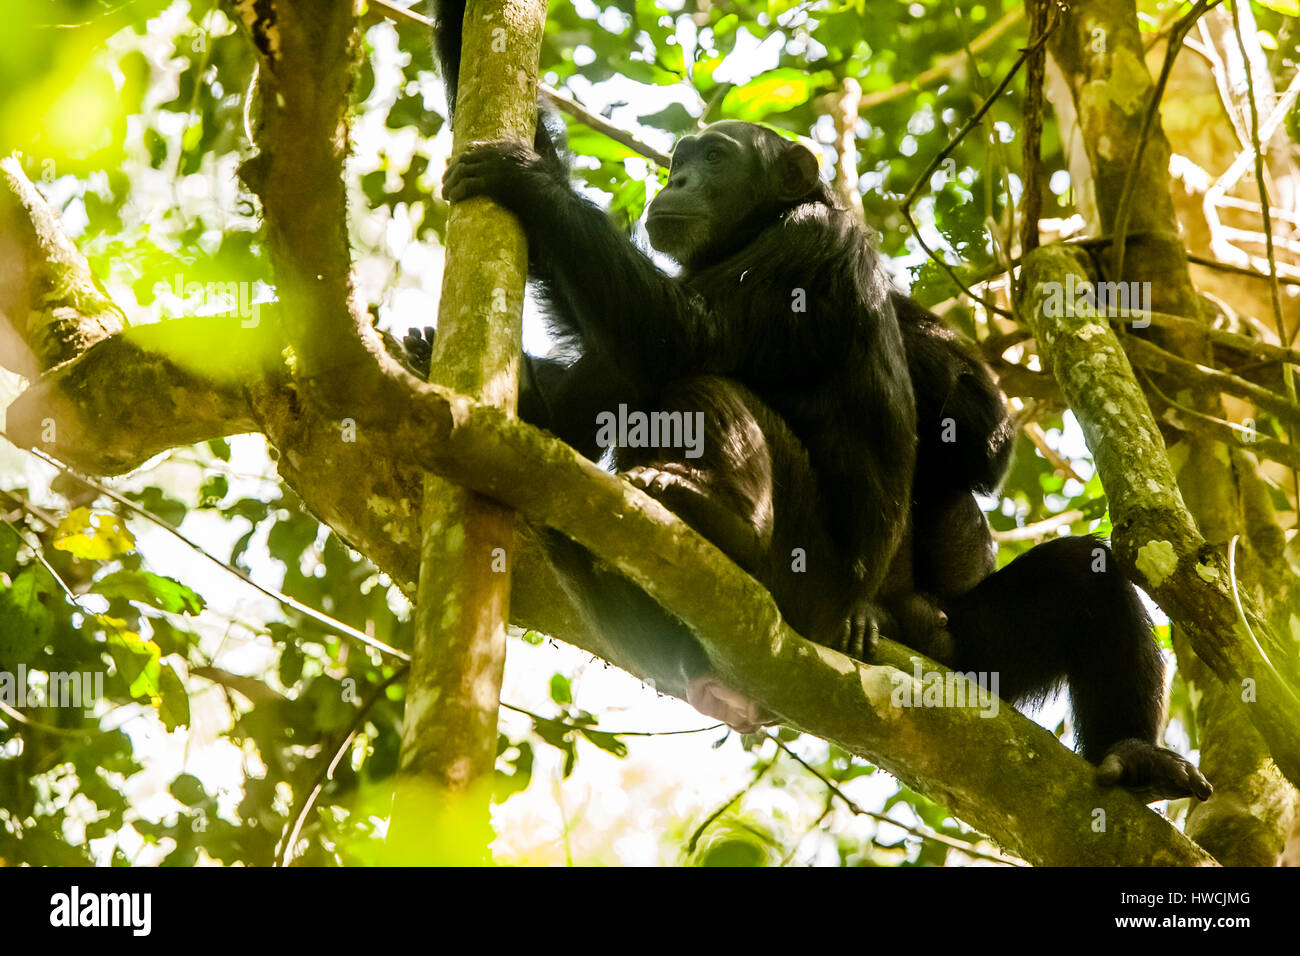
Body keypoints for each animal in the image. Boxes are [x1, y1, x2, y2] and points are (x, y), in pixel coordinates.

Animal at [421, 0, 1211, 806]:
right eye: (681, 159)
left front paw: (530, 184)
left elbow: (682, 335)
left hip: (833, 599)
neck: (763, 225)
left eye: (716, 158)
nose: (676, 178)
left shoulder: (806, 247)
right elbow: (610, 371)